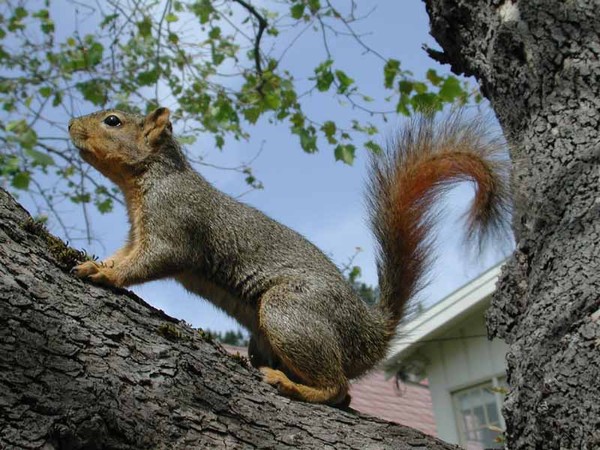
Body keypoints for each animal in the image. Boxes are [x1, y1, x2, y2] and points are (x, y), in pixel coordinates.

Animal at [69, 107, 510, 406]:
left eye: (112, 121)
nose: (71, 125)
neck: (150, 178)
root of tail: (371, 336)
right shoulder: (137, 233)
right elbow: (126, 255)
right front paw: (98, 262)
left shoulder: (175, 221)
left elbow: (155, 259)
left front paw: (105, 276)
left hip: (291, 311)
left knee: (338, 390)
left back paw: (291, 385)